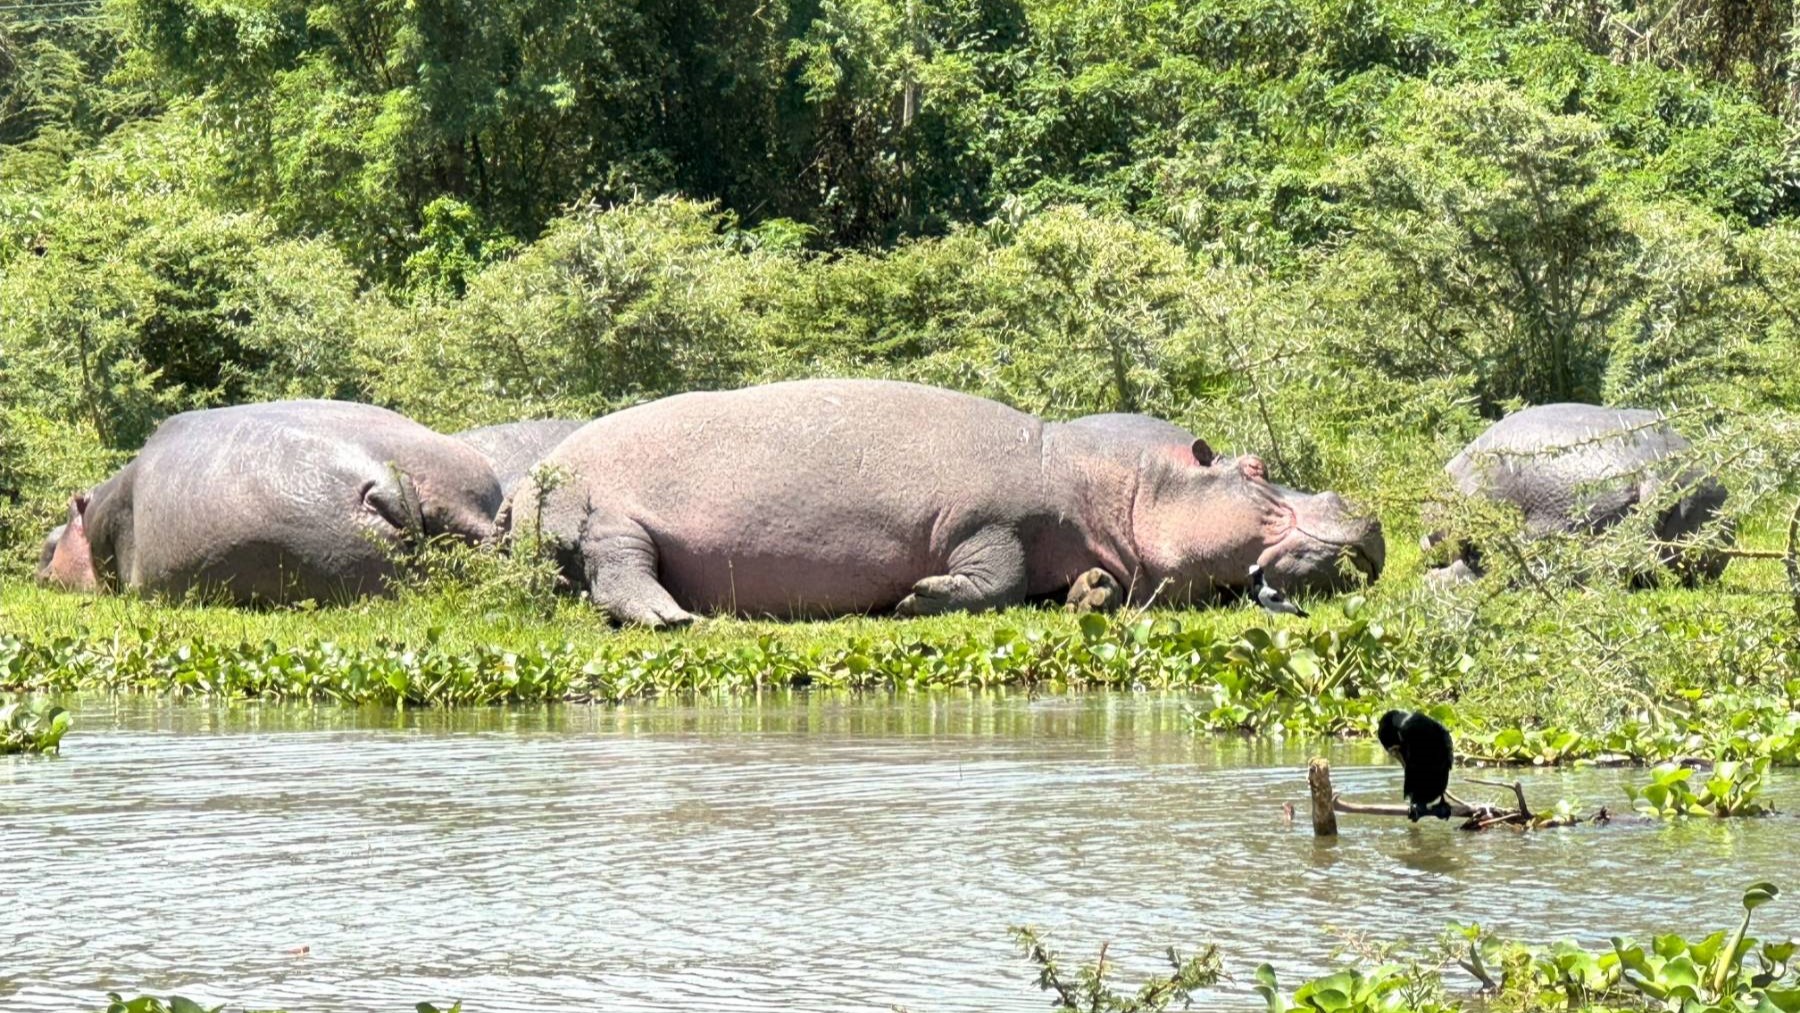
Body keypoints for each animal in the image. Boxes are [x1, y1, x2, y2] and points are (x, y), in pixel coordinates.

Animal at [500, 377, 1382, 626]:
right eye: (1256, 466)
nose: (1366, 510)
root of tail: (532, 476)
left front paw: (1092, 591)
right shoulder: (986, 523)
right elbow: (995, 573)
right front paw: (915, 596)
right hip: (608, 516)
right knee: (619, 570)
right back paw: (673, 618)